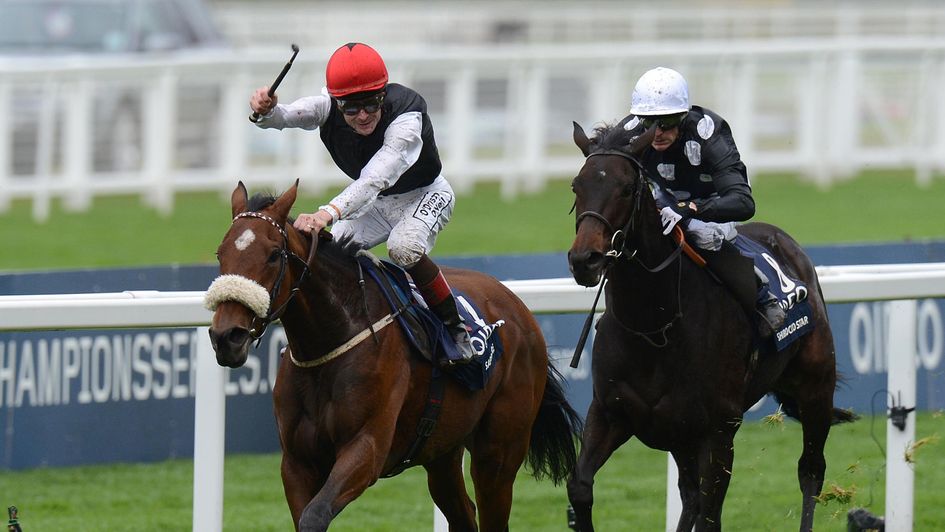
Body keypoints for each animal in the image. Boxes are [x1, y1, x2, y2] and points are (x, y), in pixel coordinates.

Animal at [205, 181, 584, 528]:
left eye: (273, 254)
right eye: (220, 253)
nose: (227, 337)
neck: (330, 341)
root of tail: (518, 307)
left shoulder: (367, 449)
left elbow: (315, 515)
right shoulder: (297, 463)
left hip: (499, 451)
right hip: (442, 451)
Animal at [568, 122, 856, 528]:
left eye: (625, 188)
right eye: (577, 186)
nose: (585, 260)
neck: (655, 327)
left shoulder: (719, 428)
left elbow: (710, 514)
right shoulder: (611, 413)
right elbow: (580, 486)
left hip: (816, 389)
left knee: (810, 472)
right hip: (679, 435)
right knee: (690, 495)